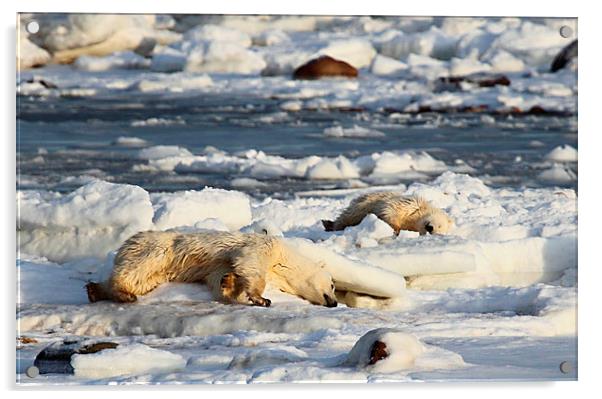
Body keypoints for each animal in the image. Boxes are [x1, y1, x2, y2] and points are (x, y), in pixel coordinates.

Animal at [85, 230, 338, 308]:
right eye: (333, 285)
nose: (334, 302)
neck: (283, 258)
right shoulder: (263, 246)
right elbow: (251, 265)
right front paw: (262, 299)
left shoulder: (218, 264)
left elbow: (220, 276)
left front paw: (228, 283)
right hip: (157, 248)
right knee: (136, 270)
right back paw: (121, 293)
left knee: (142, 280)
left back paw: (96, 291)